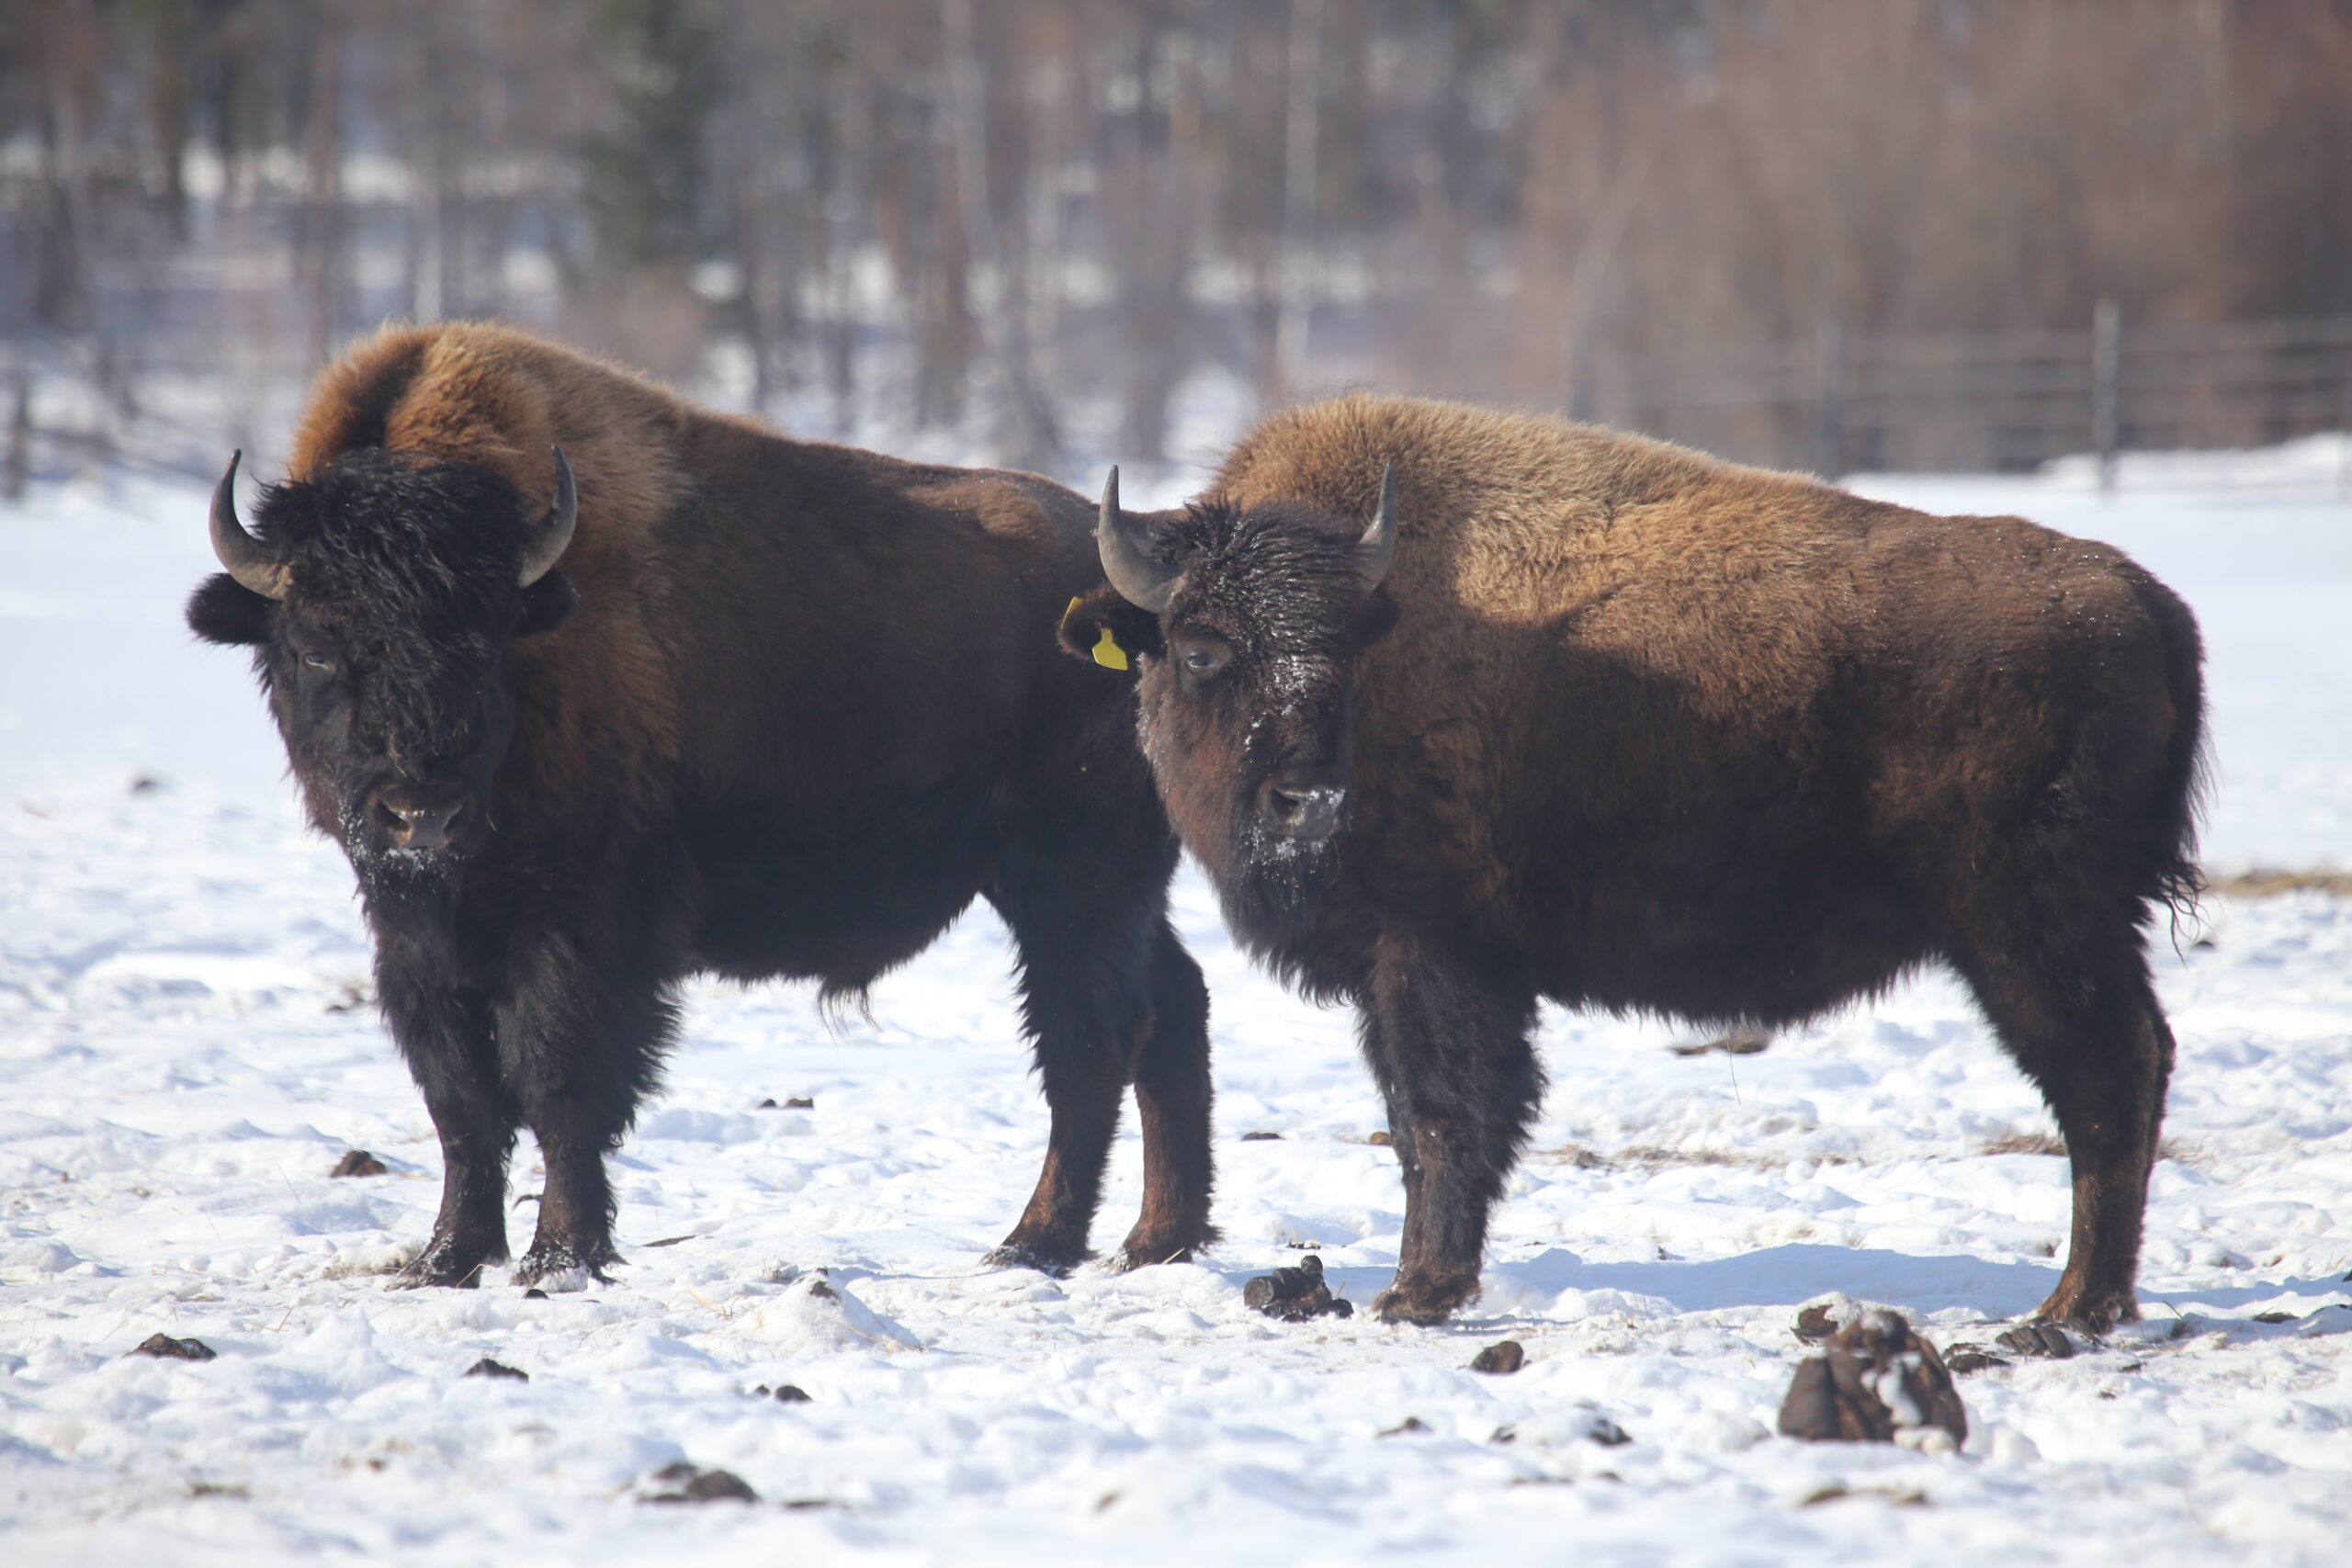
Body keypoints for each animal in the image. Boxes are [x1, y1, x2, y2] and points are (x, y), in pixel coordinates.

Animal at [187, 324, 1213, 1297]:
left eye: (483, 640)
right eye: (314, 646)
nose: (419, 814)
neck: (537, 619)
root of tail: (1137, 600)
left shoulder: (584, 924)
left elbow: (558, 1082)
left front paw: (560, 1257)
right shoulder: (418, 937)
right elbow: (462, 1102)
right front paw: (445, 1260)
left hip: (1073, 882)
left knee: (1090, 1042)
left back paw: (1032, 1246)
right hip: (1096, 890)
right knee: (1170, 1007)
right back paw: (1158, 1241)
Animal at [1068, 394, 2201, 1335]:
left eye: (1346, 652)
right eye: (1202, 649)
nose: (1310, 800)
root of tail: (2143, 602)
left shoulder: (1433, 955)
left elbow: (1443, 1116)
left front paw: (1417, 1294)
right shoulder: (1395, 973)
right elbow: (1412, 1120)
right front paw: (1412, 1285)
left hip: (2019, 926)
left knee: (2105, 1072)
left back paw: (2070, 1308)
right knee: (2128, 1066)